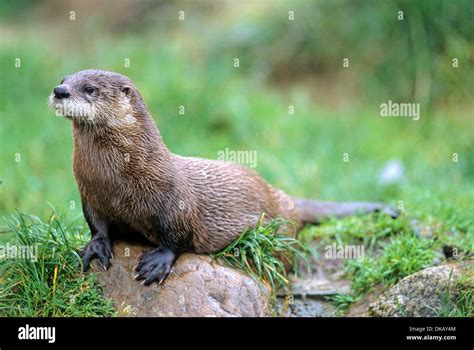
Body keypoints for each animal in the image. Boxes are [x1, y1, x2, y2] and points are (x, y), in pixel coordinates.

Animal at [49, 69, 396, 286]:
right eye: (64, 78)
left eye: (90, 89)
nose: (59, 90)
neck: (118, 180)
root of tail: (282, 198)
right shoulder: (89, 194)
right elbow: (97, 225)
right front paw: (96, 248)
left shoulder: (173, 200)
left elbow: (177, 235)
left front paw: (157, 262)